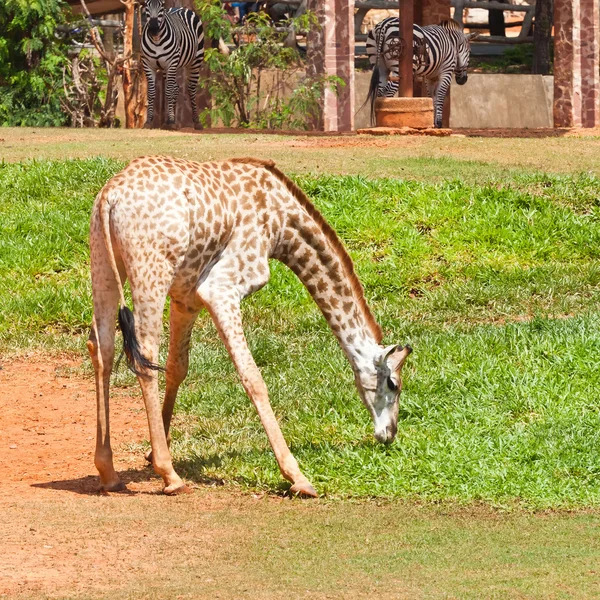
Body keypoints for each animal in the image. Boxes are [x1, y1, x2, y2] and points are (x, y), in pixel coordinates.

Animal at [86, 155, 410, 496]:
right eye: (394, 384)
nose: (389, 433)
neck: (281, 222)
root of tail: (110, 196)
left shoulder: (187, 298)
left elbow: (178, 367)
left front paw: (151, 453)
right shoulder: (220, 288)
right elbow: (253, 378)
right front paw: (296, 476)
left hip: (103, 262)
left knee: (102, 346)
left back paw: (108, 471)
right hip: (151, 269)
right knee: (145, 353)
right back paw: (171, 477)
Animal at [141, 0, 205, 129]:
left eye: (161, 6)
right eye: (146, 5)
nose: (154, 29)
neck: (156, 40)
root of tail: (181, 8)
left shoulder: (171, 63)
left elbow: (169, 91)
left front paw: (170, 121)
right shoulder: (148, 65)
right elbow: (151, 92)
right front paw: (149, 121)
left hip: (195, 60)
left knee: (191, 88)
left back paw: (196, 122)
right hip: (167, 68)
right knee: (175, 87)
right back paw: (171, 120)